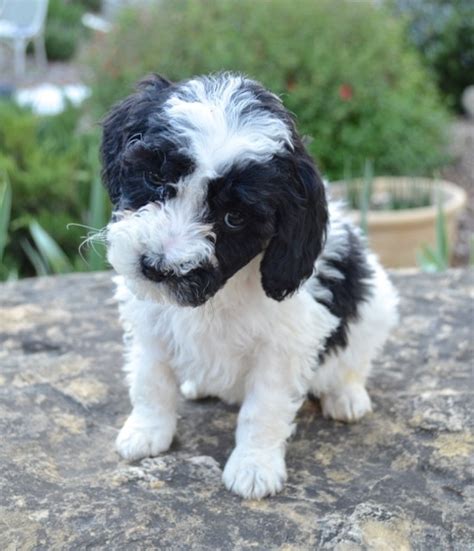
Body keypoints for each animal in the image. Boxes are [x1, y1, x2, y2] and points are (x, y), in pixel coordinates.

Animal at [102, 72, 398, 500]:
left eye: (234, 218)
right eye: (155, 176)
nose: (157, 267)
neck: (218, 296)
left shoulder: (283, 345)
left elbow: (264, 408)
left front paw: (254, 466)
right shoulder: (150, 322)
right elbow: (150, 379)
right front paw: (146, 431)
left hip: (377, 306)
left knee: (354, 357)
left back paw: (346, 395)